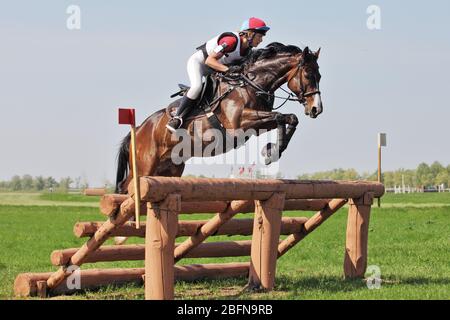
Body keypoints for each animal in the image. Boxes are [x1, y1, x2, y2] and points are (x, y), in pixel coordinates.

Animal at [114, 43, 322, 195]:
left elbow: (290, 118)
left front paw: (272, 151)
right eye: (307, 74)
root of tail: (138, 129)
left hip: (169, 169)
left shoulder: (258, 125)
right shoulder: (239, 124)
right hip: (145, 166)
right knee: (127, 186)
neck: (251, 83)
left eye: (319, 75)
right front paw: (270, 151)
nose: (316, 109)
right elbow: (281, 116)